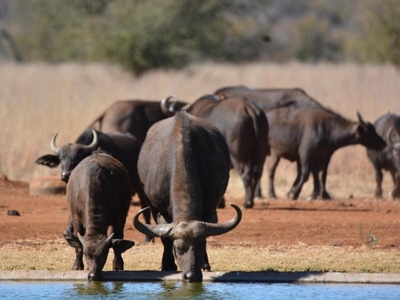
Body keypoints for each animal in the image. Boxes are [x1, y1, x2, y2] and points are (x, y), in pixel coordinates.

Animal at [63, 152, 135, 282]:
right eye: (86, 254)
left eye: (104, 254)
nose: (93, 275)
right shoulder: (76, 218)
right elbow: (78, 244)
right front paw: (77, 266)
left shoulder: (120, 217)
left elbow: (117, 241)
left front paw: (118, 265)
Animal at [134, 111, 241, 282]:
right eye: (178, 248)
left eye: (201, 246)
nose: (192, 275)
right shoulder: (157, 208)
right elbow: (165, 238)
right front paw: (167, 265)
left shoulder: (209, 207)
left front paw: (205, 264)